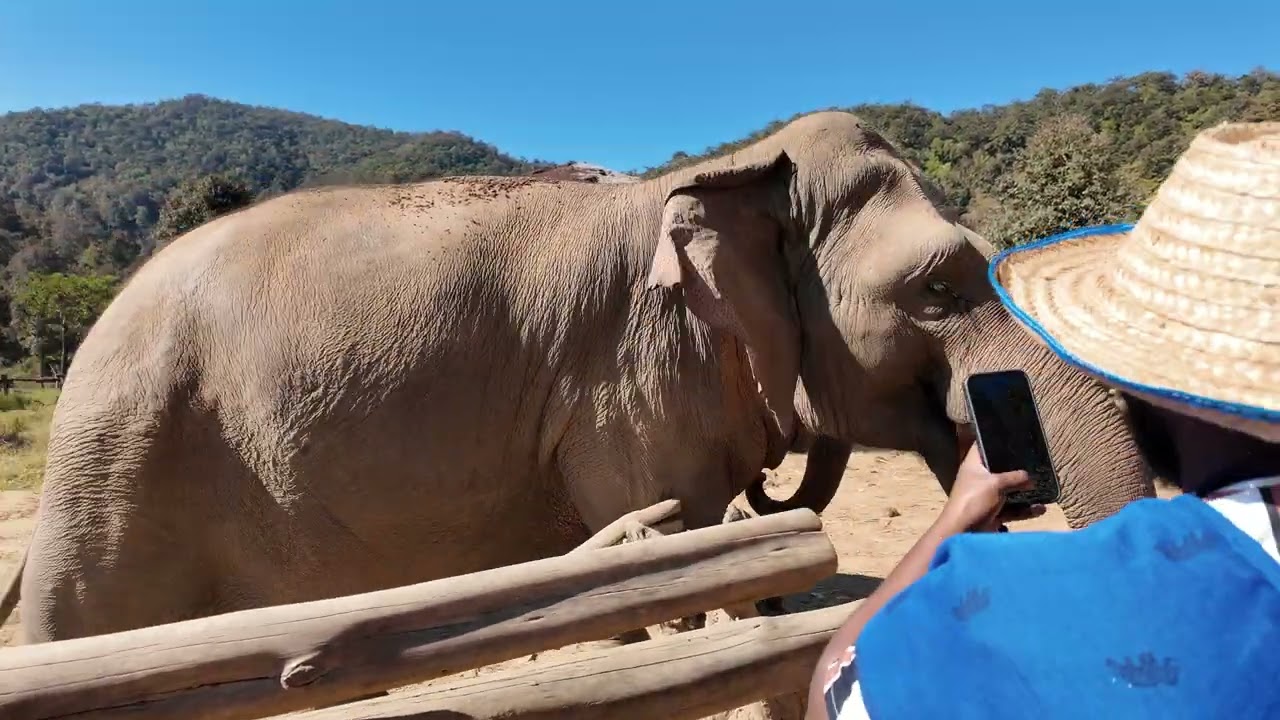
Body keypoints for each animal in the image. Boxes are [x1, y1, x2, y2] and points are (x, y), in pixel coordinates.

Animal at [2, 111, 1154, 644]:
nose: (1004, 467)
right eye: (938, 287)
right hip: (123, 463)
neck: (732, 171)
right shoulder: (630, 382)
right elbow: (672, 539)